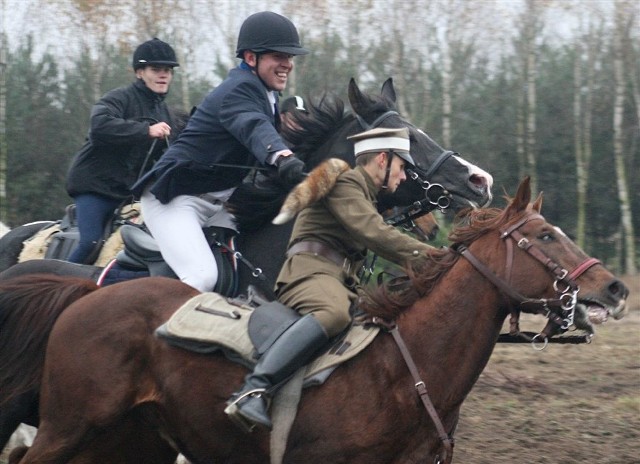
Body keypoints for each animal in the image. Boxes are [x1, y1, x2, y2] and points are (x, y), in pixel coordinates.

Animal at [7, 179, 628, 464]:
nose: (615, 288)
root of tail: (82, 296)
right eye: (543, 236)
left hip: (130, 441)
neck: (402, 369)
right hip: (69, 428)